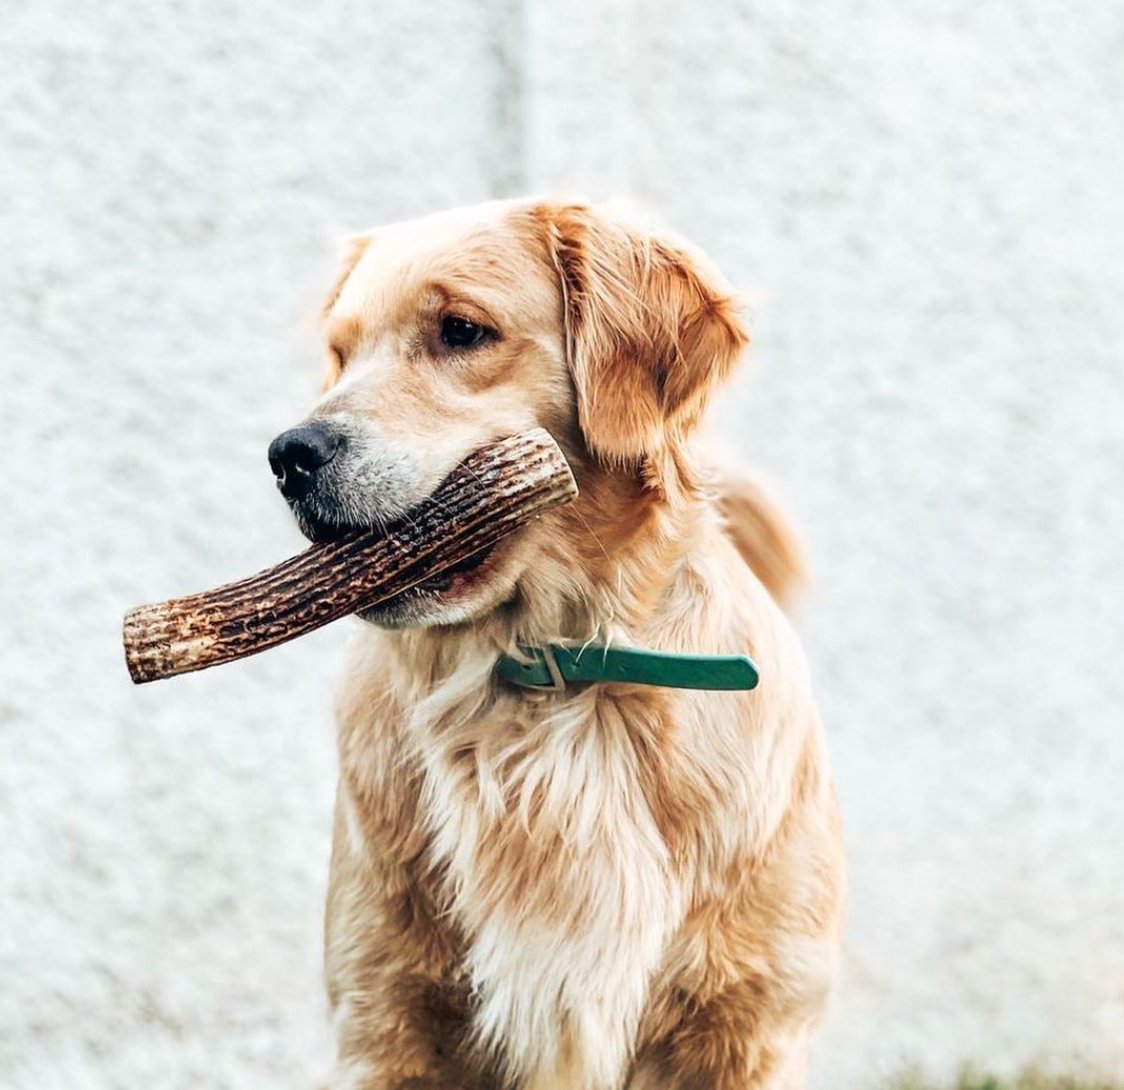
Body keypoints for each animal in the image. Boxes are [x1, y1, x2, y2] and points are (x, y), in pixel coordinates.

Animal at [265, 197, 845, 1087]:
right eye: (339, 355)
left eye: (460, 330)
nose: (290, 455)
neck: (551, 678)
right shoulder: (385, 1018)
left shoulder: (748, 1026)